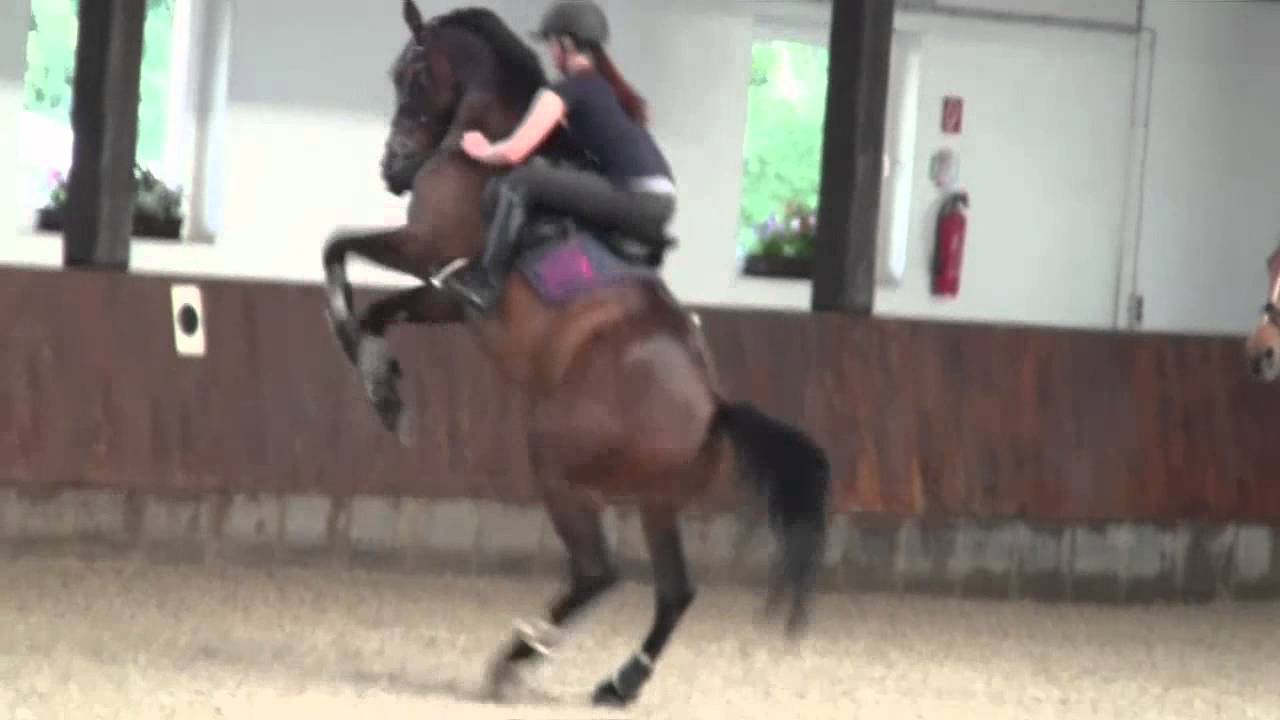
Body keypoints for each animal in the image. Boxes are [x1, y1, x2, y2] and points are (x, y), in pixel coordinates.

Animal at [321, 2, 832, 707]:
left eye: (415, 76)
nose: (393, 170)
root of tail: (715, 409)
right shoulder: (449, 296)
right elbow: (375, 309)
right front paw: (384, 388)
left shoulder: (425, 247)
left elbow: (336, 249)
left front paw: (374, 374)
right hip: (656, 501)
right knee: (674, 591)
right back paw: (617, 683)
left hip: (560, 465)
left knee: (597, 572)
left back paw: (518, 657)